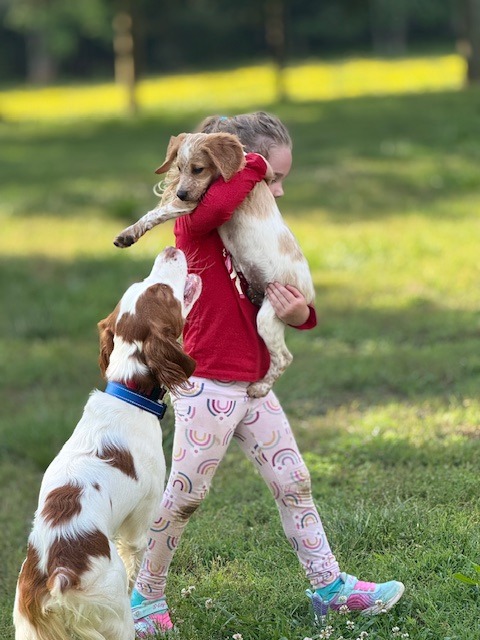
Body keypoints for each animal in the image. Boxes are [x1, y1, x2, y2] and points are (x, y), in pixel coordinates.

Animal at [13, 247, 202, 640]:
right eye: (162, 292)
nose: (170, 249)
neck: (128, 394)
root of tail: (59, 576)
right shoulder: (140, 520)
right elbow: (138, 561)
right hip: (115, 615)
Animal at [113, 132, 315, 398]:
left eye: (198, 169)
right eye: (179, 168)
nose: (181, 193)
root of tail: (309, 296)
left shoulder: (198, 202)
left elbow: (154, 213)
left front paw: (128, 234)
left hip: (269, 315)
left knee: (284, 357)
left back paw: (259, 388)